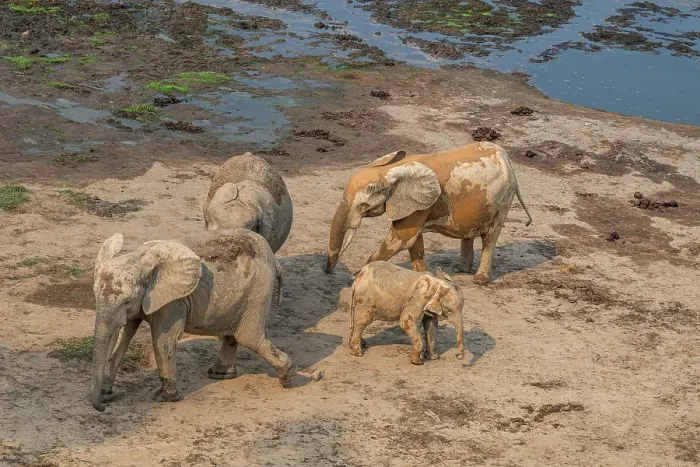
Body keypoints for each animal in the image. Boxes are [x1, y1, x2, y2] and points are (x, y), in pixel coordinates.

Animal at [89, 229, 294, 412]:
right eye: (95, 295)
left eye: (127, 301)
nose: (102, 408)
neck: (138, 259)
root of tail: (275, 259)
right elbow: (126, 336)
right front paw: (108, 394)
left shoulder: (172, 302)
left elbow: (163, 340)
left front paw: (164, 398)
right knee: (234, 335)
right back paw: (220, 375)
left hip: (258, 293)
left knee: (249, 339)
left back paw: (286, 377)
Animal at [325, 142, 532, 284]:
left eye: (363, 206)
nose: (329, 272)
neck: (389, 170)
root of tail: (506, 158)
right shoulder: (417, 205)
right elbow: (413, 241)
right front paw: (422, 276)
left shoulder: (421, 204)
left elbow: (401, 238)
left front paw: (357, 276)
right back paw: (461, 269)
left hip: (502, 200)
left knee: (490, 238)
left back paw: (479, 280)